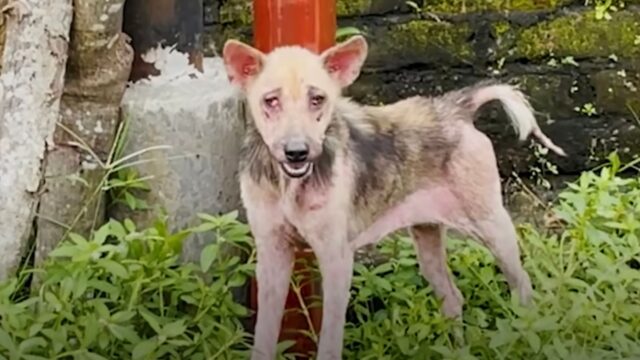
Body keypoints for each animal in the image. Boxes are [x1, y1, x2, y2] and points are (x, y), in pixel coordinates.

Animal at [221, 34, 564, 360]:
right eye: (271, 100)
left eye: (318, 99)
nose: (297, 152)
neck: (288, 184)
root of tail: (456, 108)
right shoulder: (272, 253)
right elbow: (263, 338)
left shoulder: (336, 258)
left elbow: (330, 342)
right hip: (427, 237)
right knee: (453, 298)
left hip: (493, 226)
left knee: (524, 288)